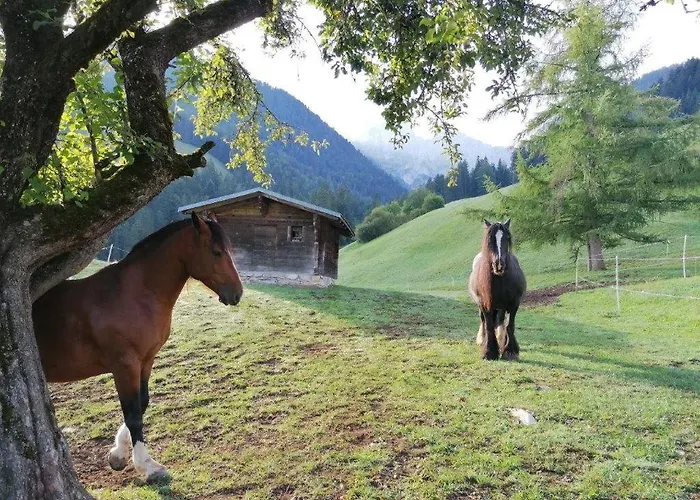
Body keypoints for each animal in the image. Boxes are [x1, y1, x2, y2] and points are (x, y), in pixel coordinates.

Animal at [32, 213, 243, 482]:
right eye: (216, 252)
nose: (237, 293)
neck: (133, 295)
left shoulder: (146, 361)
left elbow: (142, 404)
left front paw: (118, 455)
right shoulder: (125, 366)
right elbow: (133, 414)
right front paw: (148, 466)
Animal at [468, 219, 526, 361]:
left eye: (507, 237)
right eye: (489, 238)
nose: (499, 264)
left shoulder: (514, 304)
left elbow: (509, 325)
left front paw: (510, 351)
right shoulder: (485, 304)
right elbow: (488, 325)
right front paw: (489, 351)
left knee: (500, 321)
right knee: (483, 321)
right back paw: (482, 339)